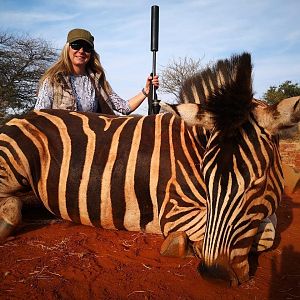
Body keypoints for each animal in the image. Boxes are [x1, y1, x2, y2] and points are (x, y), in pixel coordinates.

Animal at [162, 52, 300, 286]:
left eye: (258, 185)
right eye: (204, 177)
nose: (215, 274)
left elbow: (269, 229)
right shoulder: (174, 210)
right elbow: (267, 232)